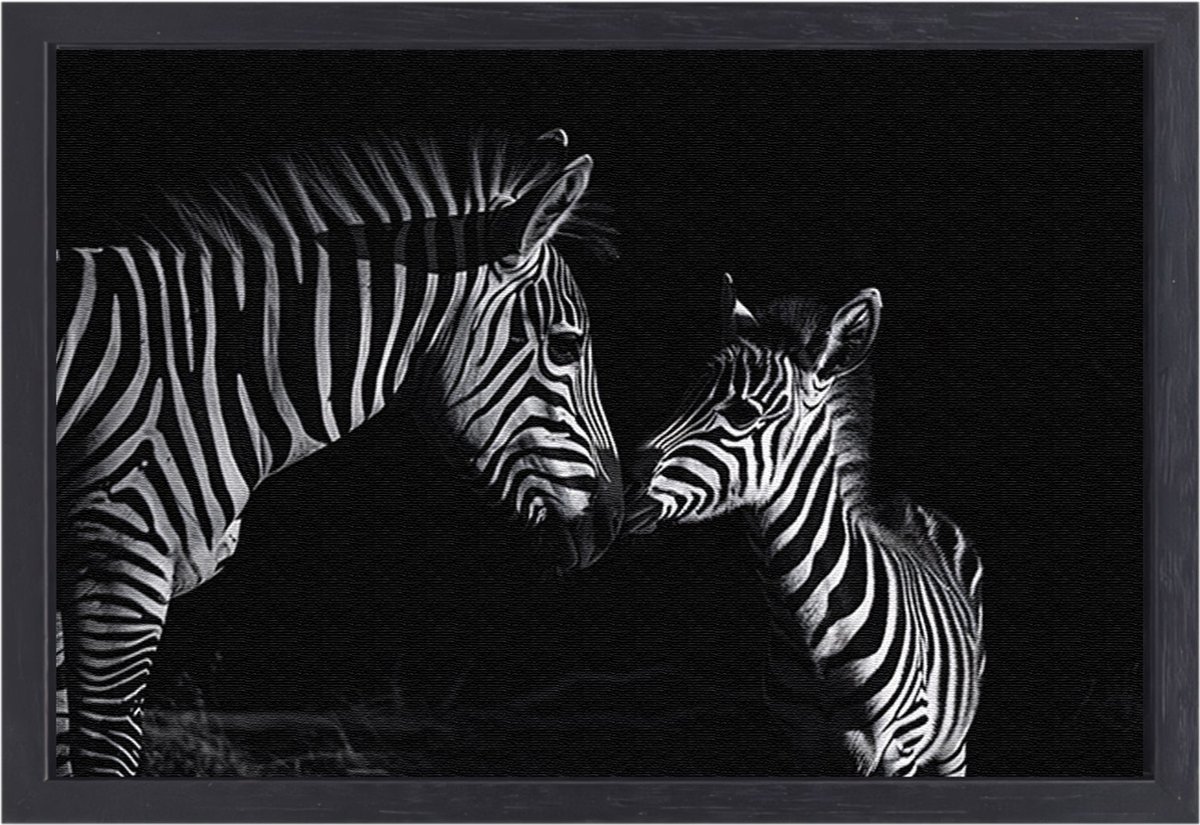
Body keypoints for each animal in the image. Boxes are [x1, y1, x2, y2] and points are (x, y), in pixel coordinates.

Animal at [624, 274, 984, 777]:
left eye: (742, 415)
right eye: (686, 397)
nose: (615, 491)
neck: (807, 626)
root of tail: (905, 505)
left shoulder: (900, 752)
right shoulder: (795, 745)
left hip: (952, 744)